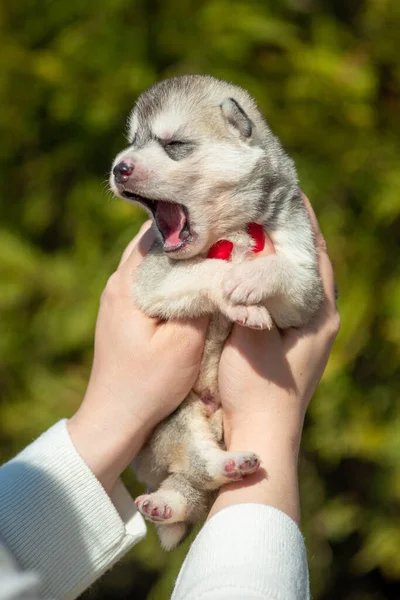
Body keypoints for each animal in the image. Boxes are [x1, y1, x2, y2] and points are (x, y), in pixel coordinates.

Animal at [109, 74, 322, 548]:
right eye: (133, 142)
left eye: (174, 144)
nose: (118, 168)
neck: (229, 232)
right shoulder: (153, 279)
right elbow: (207, 270)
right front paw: (237, 295)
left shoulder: (307, 281)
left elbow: (285, 270)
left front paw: (251, 281)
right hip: (175, 417)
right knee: (199, 466)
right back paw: (190, 487)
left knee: (197, 485)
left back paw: (182, 496)